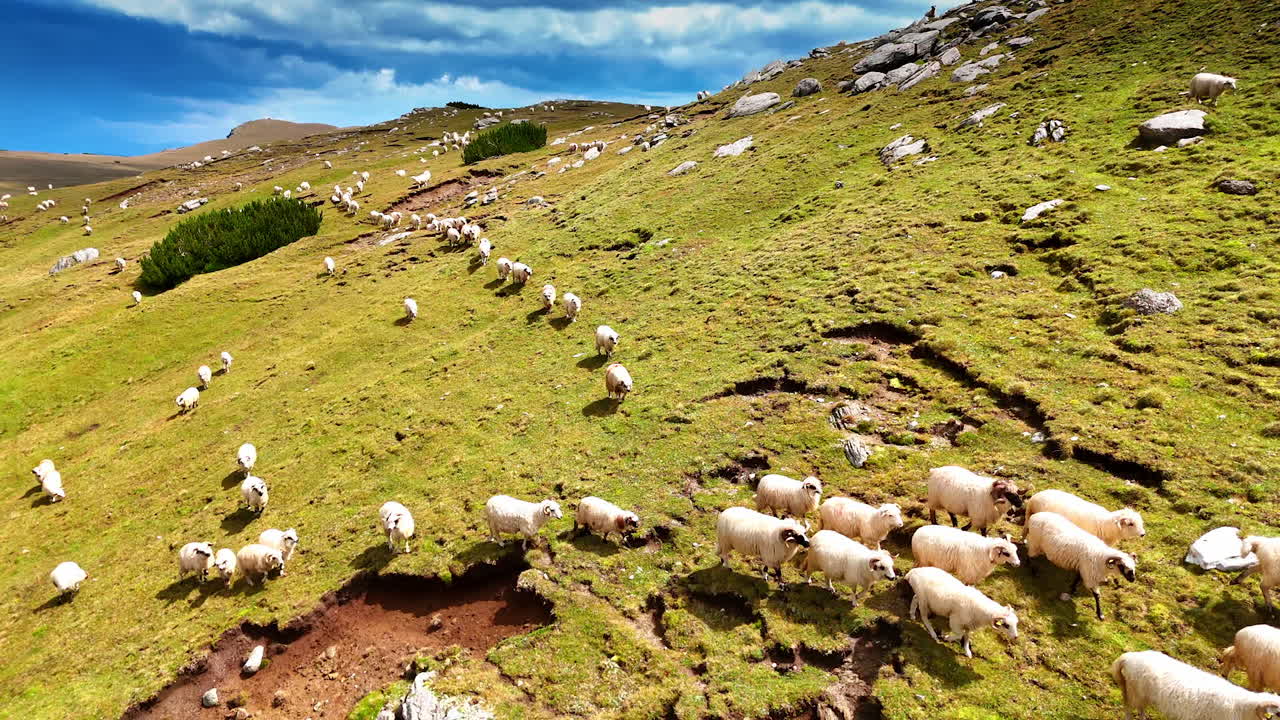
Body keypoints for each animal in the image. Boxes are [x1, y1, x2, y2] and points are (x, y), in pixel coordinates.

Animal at [1112, 650, 1280, 720]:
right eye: (1278, 712)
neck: (1244, 708)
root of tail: (1129, 657)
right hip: (1135, 691)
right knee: (1128, 708)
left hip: (1142, 694)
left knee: (1140, 709)